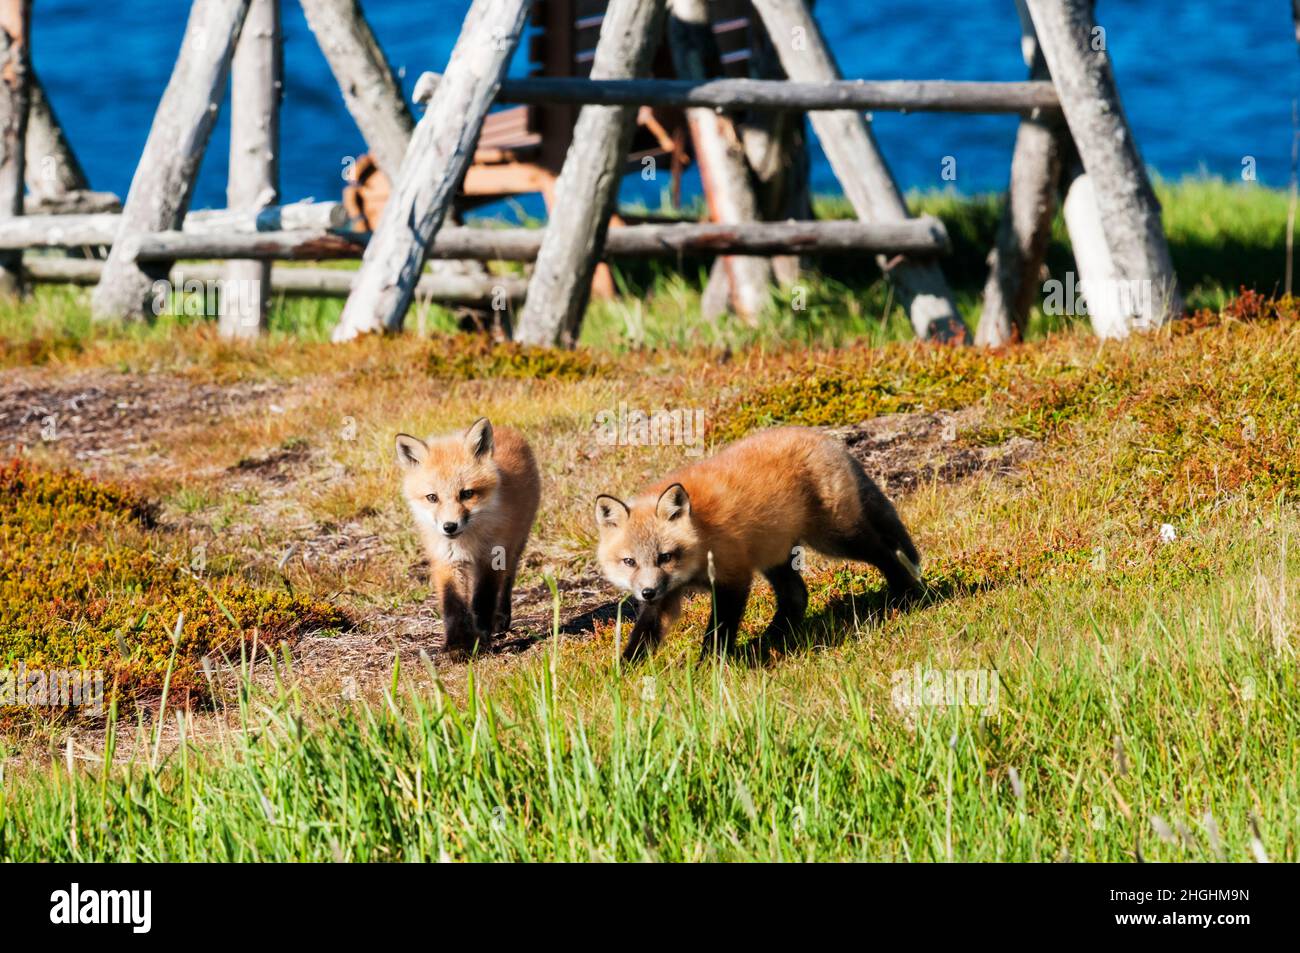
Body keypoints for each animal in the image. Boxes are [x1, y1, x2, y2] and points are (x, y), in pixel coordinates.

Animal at [395, 421, 538, 657]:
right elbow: (453, 603)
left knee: (508, 578)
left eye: (467, 494)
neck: (467, 541)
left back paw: (501, 618)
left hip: (517, 541)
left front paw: (481, 635)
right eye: (432, 498)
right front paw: (458, 644)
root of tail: (504, 428)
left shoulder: (492, 556)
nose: (449, 527)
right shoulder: (447, 559)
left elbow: (484, 598)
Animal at [595, 426, 920, 657]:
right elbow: (642, 637)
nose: (647, 592)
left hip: (835, 538)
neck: (701, 539)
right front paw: (623, 677)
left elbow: (718, 632)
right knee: (797, 596)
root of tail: (823, 438)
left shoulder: (733, 578)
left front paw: (709, 668)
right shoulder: (666, 596)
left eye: (665, 556)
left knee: (887, 551)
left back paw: (908, 595)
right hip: (776, 554)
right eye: (629, 562)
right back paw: (770, 640)